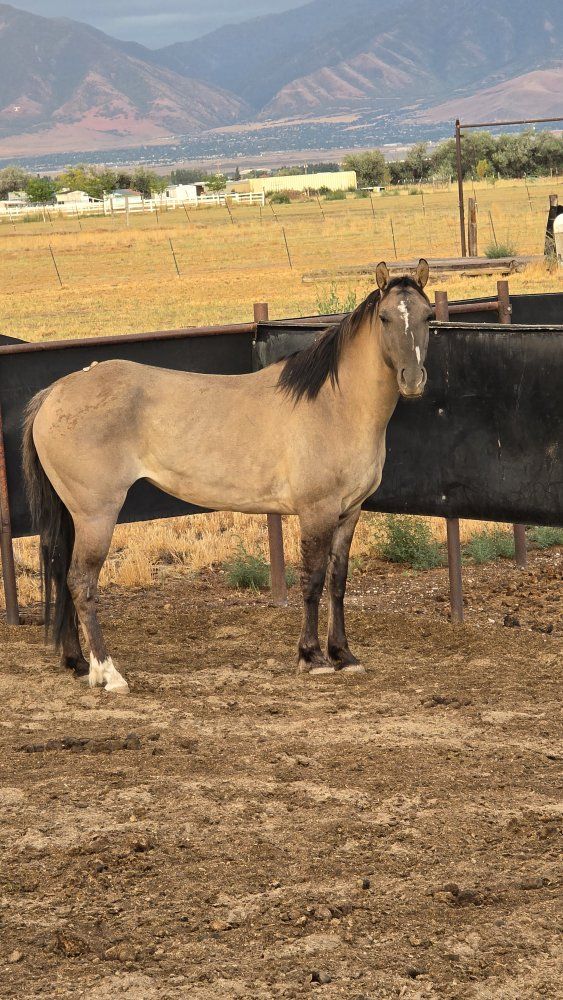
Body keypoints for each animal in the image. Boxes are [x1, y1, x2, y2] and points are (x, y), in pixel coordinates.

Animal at [23, 260, 432, 694]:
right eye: (385, 317)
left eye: (428, 316)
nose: (412, 379)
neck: (334, 405)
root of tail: (56, 392)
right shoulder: (316, 512)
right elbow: (313, 580)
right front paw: (312, 657)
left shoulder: (349, 511)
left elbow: (338, 581)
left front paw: (344, 655)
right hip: (97, 514)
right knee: (81, 582)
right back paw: (109, 673)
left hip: (74, 515)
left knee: (63, 576)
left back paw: (78, 663)